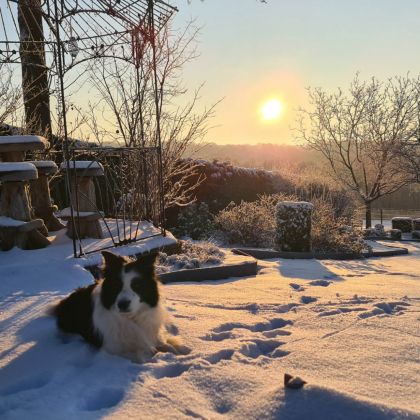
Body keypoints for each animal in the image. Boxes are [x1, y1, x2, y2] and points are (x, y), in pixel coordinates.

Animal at [53, 251, 185, 362]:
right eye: (117, 285)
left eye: (136, 285)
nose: (122, 304)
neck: (131, 318)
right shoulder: (113, 349)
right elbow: (142, 356)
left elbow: (168, 346)